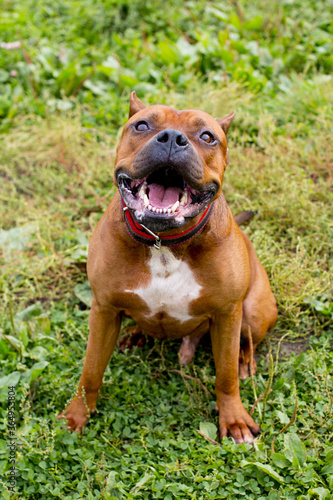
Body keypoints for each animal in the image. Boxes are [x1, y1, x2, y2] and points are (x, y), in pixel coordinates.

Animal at [60, 92, 278, 444]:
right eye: (142, 125)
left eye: (207, 136)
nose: (173, 139)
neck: (163, 244)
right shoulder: (103, 309)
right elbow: (91, 369)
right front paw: (76, 416)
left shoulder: (227, 314)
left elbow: (226, 374)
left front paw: (234, 419)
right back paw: (133, 335)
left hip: (254, 312)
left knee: (246, 345)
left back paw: (244, 361)